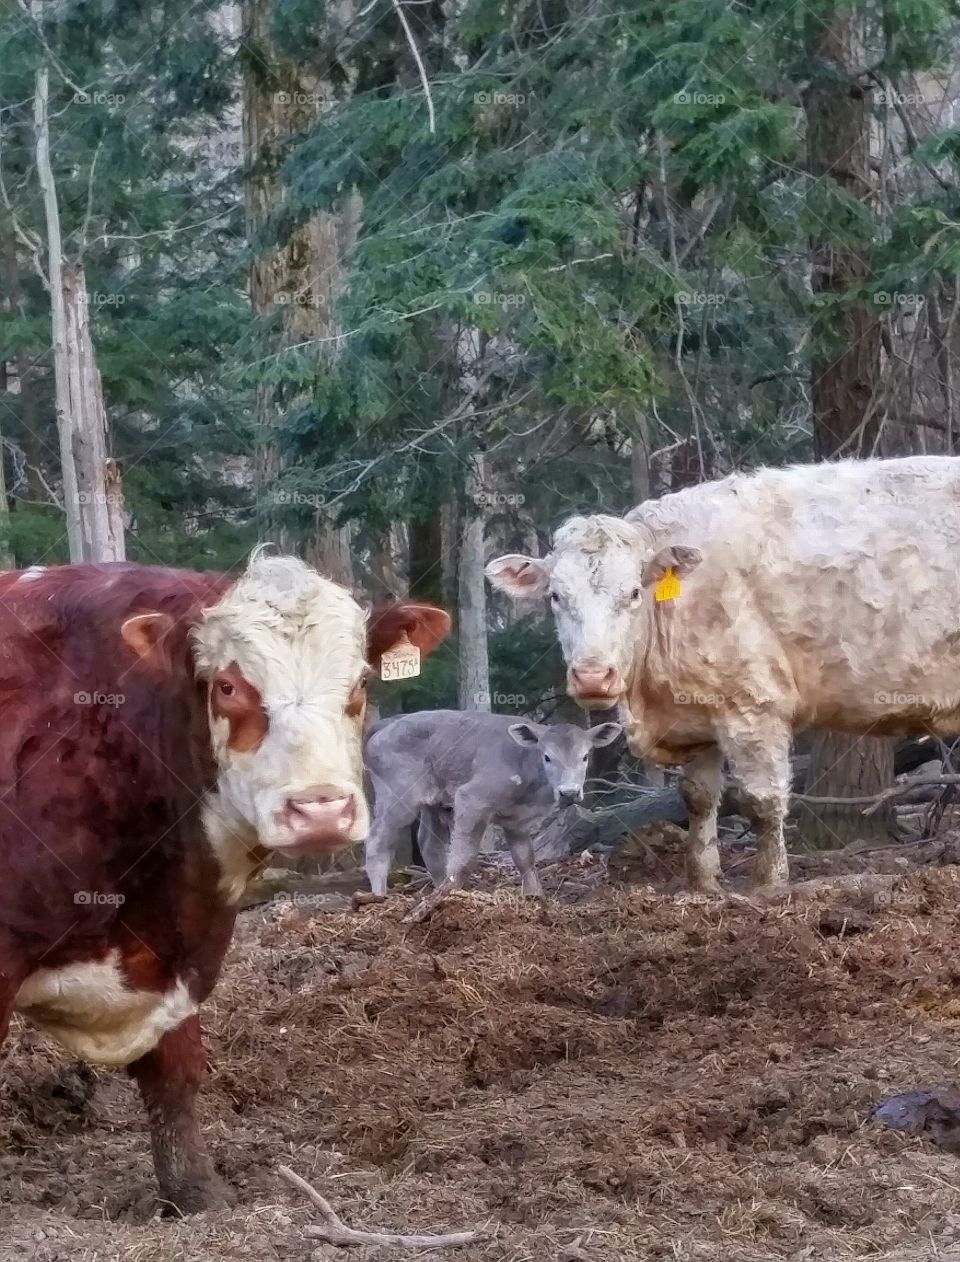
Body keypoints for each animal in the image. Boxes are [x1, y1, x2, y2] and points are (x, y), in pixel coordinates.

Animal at [0, 554, 448, 1212]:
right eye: (230, 687)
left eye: (362, 683)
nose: (319, 810)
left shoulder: (182, 947)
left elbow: (176, 1073)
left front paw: (196, 1193)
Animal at [363, 710, 621, 896]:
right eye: (547, 756)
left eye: (585, 756)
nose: (569, 792)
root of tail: (385, 725)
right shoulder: (471, 798)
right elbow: (464, 857)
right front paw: (451, 894)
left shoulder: (518, 820)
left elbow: (525, 858)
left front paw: (535, 896)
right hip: (397, 798)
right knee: (377, 841)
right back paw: (380, 897)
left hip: (434, 803)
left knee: (429, 845)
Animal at [486, 455, 960, 893]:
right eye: (555, 596)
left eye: (634, 592)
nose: (592, 676)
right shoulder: (697, 713)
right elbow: (697, 798)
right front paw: (704, 882)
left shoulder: (754, 703)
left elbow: (763, 800)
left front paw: (770, 884)